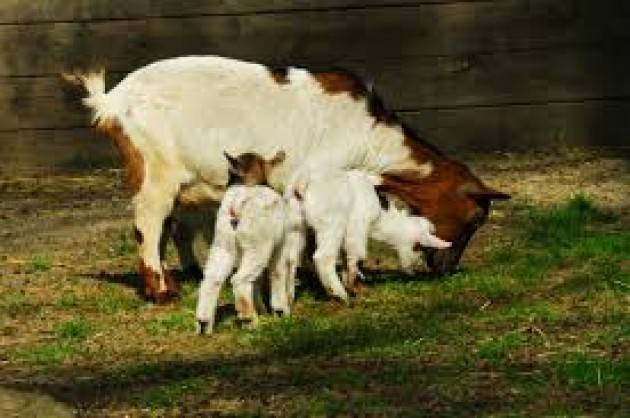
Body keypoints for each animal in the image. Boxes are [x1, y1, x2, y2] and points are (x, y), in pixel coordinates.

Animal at [66, 56, 512, 304]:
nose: (446, 268)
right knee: (148, 223)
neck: (368, 135)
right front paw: (334, 284)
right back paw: (161, 291)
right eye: (475, 218)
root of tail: (113, 101)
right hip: (155, 170)